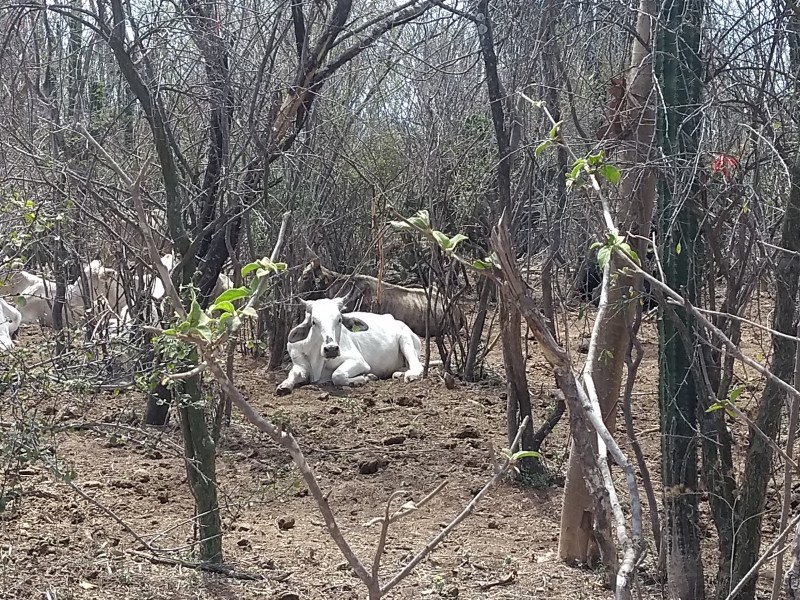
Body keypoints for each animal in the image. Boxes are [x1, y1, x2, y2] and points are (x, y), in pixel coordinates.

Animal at [276, 296, 424, 398]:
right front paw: (284, 386)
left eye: (339, 319)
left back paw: (410, 374)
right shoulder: (299, 363)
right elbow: (294, 373)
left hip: (406, 340)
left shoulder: (359, 361)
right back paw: (399, 373)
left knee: (418, 365)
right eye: (314, 322)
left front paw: (362, 379)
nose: (331, 349)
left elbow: (337, 375)